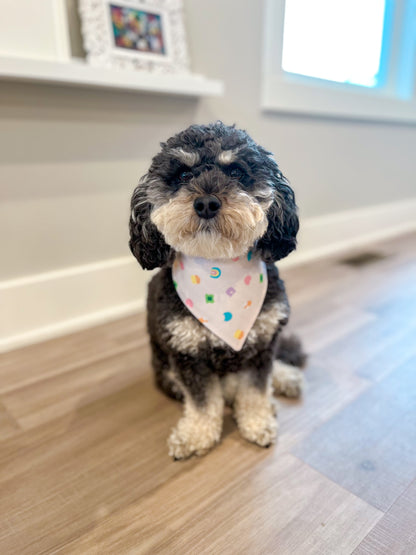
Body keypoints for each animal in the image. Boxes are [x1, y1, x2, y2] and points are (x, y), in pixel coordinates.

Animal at [129, 121, 306, 460]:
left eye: (236, 171)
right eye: (184, 175)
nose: (206, 203)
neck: (219, 273)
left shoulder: (262, 344)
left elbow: (255, 389)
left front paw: (257, 422)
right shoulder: (187, 355)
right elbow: (202, 402)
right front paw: (195, 435)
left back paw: (285, 378)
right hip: (166, 372)